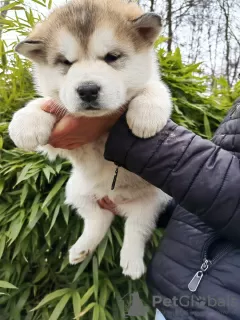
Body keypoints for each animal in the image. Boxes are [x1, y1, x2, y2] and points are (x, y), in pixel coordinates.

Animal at [8, 0, 172, 280]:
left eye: (112, 57)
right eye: (65, 62)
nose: (87, 90)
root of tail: (116, 202)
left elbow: (153, 88)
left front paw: (146, 115)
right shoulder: (61, 142)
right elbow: (46, 103)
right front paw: (25, 122)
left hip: (153, 201)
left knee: (137, 228)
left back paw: (132, 263)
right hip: (76, 190)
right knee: (98, 218)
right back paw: (81, 249)